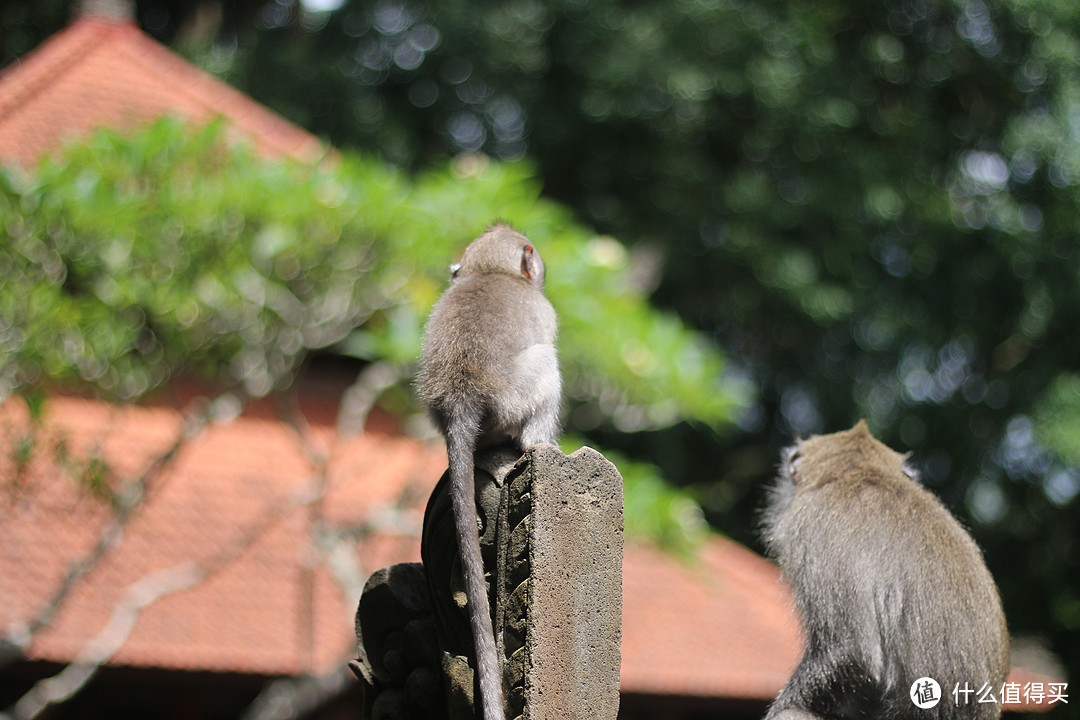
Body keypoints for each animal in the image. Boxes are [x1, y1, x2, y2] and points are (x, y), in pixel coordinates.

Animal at [414, 222, 561, 720]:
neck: (492, 272)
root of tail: (461, 396)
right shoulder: (545, 311)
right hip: (517, 392)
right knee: (546, 364)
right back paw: (537, 443)